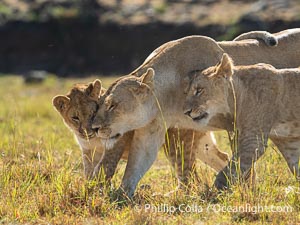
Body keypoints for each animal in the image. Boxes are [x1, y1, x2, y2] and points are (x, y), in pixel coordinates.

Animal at [184, 53, 300, 189]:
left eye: (199, 90)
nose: (186, 112)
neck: (238, 96)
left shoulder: (252, 141)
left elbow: (229, 171)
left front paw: (213, 193)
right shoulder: (288, 142)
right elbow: (296, 166)